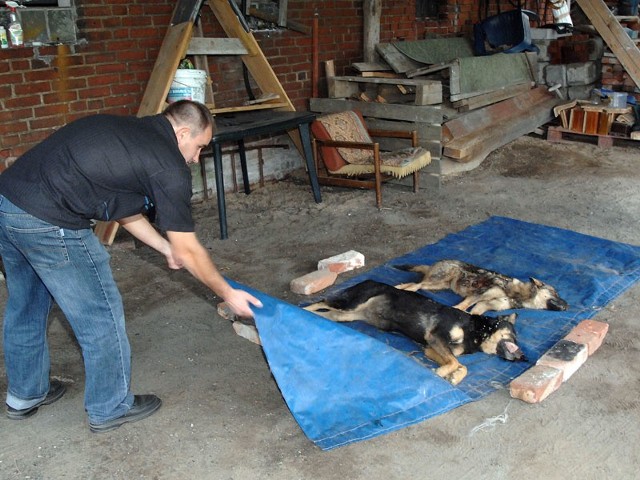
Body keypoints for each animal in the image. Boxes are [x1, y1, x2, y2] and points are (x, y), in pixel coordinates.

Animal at [304, 280, 524, 384]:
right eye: (514, 337)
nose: (523, 357)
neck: (474, 332)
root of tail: (367, 280)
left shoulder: (431, 348)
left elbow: (461, 365)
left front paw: (453, 377)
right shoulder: (435, 336)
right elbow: (455, 363)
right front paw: (441, 373)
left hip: (348, 315)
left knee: (330, 314)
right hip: (351, 302)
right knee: (322, 301)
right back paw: (302, 310)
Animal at [396, 260, 568, 316]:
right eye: (555, 293)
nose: (568, 304)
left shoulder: (484, 304)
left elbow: (473, 313)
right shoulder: (478, 296)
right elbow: (460, 307)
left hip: (437, 286)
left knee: (414, 285)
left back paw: (400, 287)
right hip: (438, 281)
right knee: (416, 285)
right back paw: (401, 289)